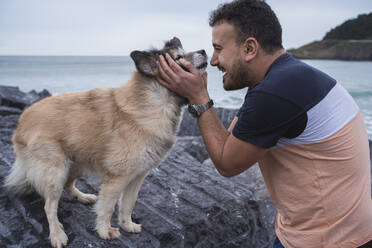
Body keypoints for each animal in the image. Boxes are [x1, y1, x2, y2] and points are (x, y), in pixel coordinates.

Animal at [3, 37, 206, 248]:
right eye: (179, 58)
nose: (204, 51)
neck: (156, 101)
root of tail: (22, 121)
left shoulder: (137, 176)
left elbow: (128, 204)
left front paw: (127, 225)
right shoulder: (118, 177)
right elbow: (107, 207)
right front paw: (104, 230)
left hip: (76, 164)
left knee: (68, 185)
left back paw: (82, 197)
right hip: (56, 171)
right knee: (49, 206)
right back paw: (57, 234)